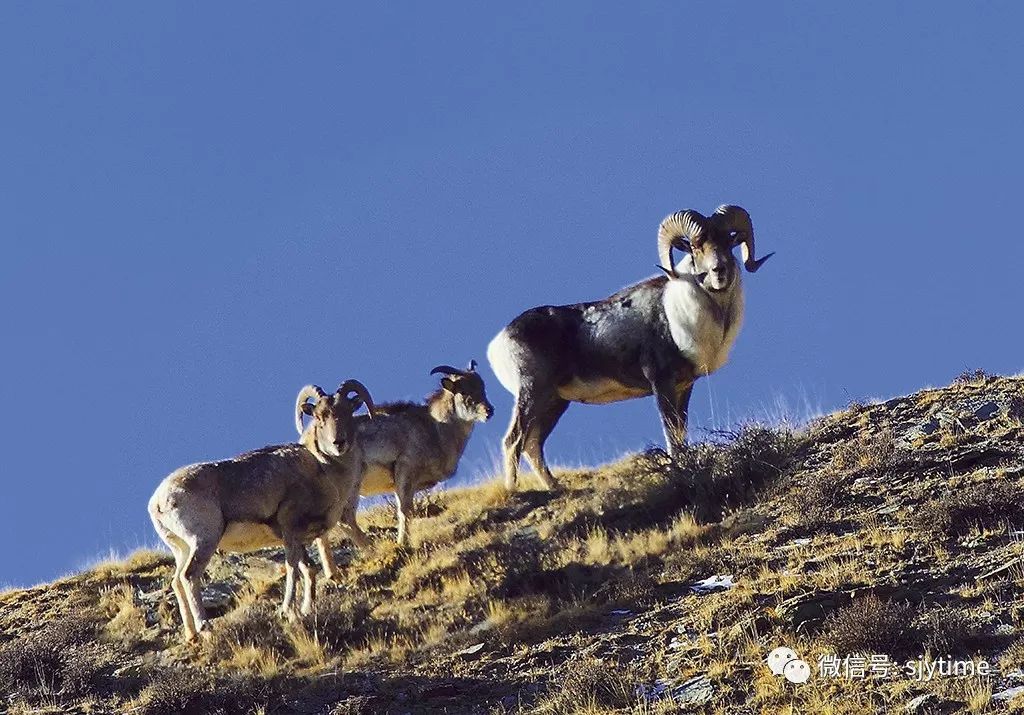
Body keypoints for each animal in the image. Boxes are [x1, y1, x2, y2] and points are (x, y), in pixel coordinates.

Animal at [148, 381, 376, 639]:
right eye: (319, 417)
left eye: (348, 411)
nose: (339, 443)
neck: (324, 470)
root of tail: (158, 502)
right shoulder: (290, 530)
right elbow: (293, 568)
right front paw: (287, 610)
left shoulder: (299, 539)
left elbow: (308, 570)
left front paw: (304, 610)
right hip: (204, 540)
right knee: (189, 576)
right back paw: (205, 627)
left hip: (182, 549)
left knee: (177, 581)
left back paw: (191, 636)